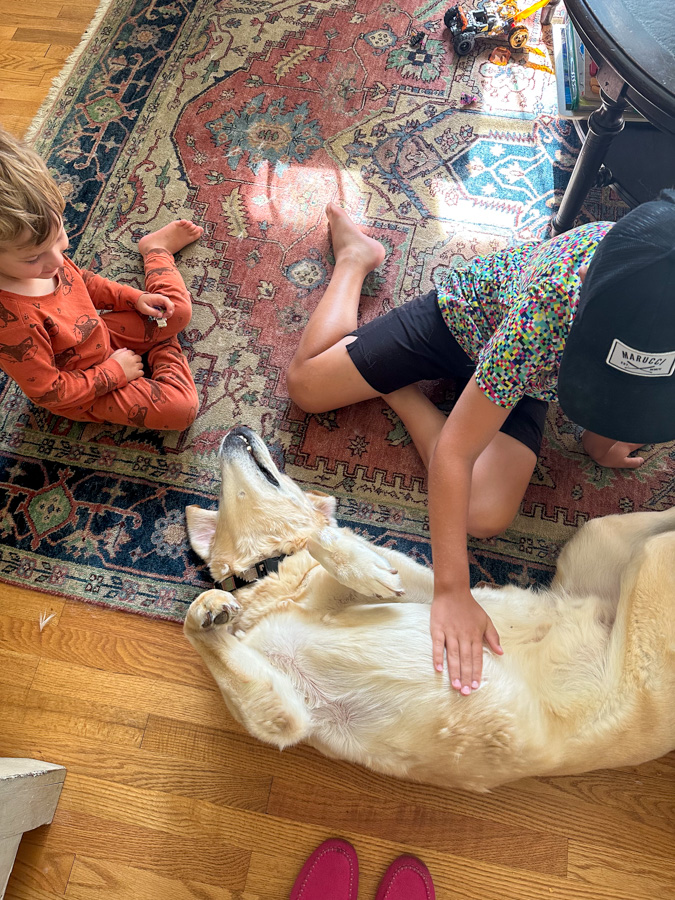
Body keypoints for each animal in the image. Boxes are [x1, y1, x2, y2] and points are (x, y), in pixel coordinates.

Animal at [184, 426, 675, 792]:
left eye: (286, 476)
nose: (237, 428)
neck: (271, 576)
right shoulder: (285, 716)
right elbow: (213, 641)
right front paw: (210, 608)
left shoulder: (437, 593)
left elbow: (329, 541)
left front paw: (359, 566)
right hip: (611, 542)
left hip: (637, 556)